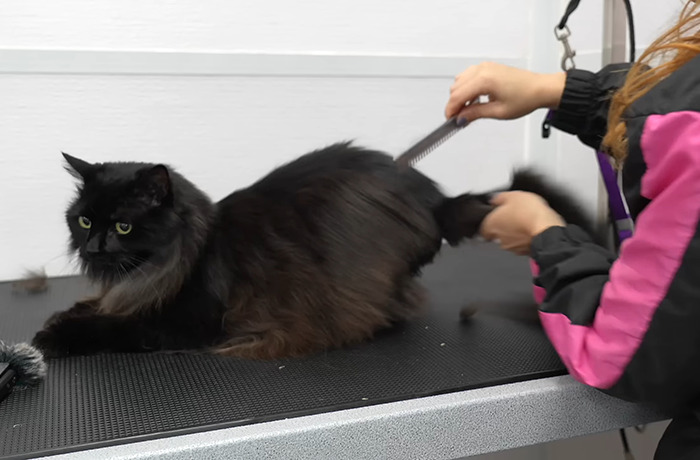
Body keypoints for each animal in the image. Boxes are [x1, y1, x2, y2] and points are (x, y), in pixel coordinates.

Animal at [30, 144, 592, 360]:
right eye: (84, 220)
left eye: (123, 226)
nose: (94, 245)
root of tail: (434, 198)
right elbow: (93, 307)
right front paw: (63, 316)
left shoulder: (185, 322)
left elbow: (111, 327)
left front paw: (51, 337)